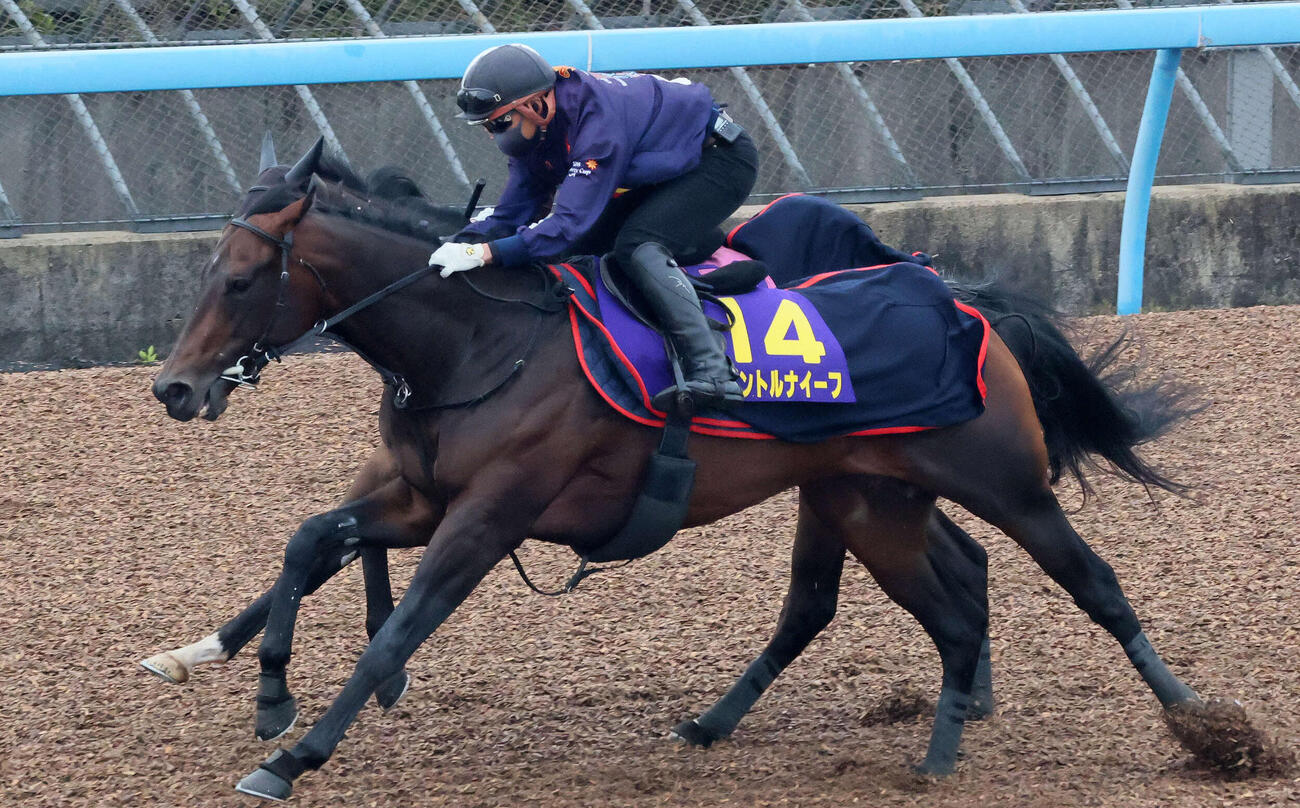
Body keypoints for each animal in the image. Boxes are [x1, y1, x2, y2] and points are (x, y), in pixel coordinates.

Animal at [151, 140, 1210, 801]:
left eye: (238, 281)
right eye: (200, 275)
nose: (174, 388)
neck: (478, 343)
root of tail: (958, 299)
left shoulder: (487, 517)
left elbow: (399, 628)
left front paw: (300, 750)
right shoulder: (417, 497)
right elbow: (309, 543)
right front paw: (266, 689)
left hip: (1004, 484)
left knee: (1091, 580)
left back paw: (1198, 720)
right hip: (867, 496)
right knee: (884, 593)